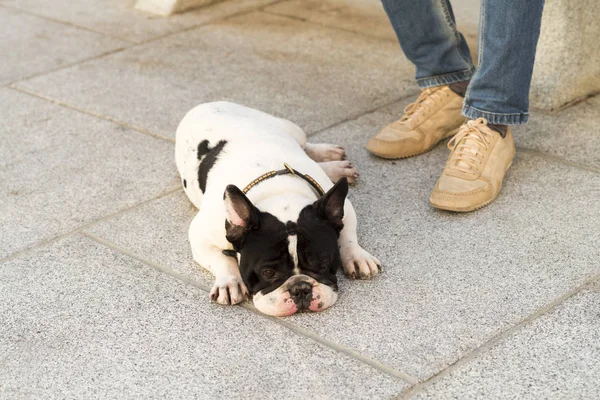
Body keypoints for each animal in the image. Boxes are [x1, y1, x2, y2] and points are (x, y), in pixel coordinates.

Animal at [175, 102, 380, 316]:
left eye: (323, 264)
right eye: (268, 273)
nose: (301, 288)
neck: (279, 193)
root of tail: (209, 104)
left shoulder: (342, 208)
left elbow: (348, 235)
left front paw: (357, 256)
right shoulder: (200, 234)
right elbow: (221, 258)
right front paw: (230, 282)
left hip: (291, 128)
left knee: (306, 145)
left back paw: (333, 162)